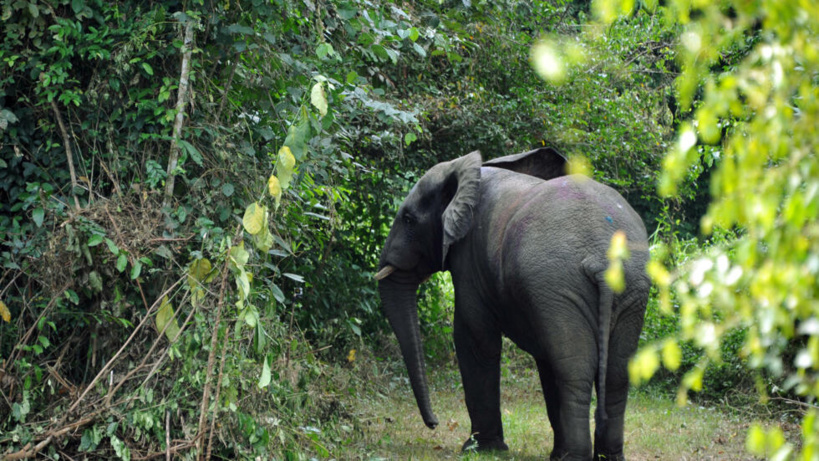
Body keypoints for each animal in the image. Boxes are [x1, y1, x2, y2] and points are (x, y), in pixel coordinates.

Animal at [374, 148, 652, 460]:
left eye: (409, 219)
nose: (434, 424)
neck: (469, 170)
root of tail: (603, 260)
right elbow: (545, 358)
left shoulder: (470, 259)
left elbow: (474, 338)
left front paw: (480, 449)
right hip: (626, 290)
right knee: (614, 374)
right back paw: (601, 456)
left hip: (562, 282)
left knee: (574, 371)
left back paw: (573, 457)